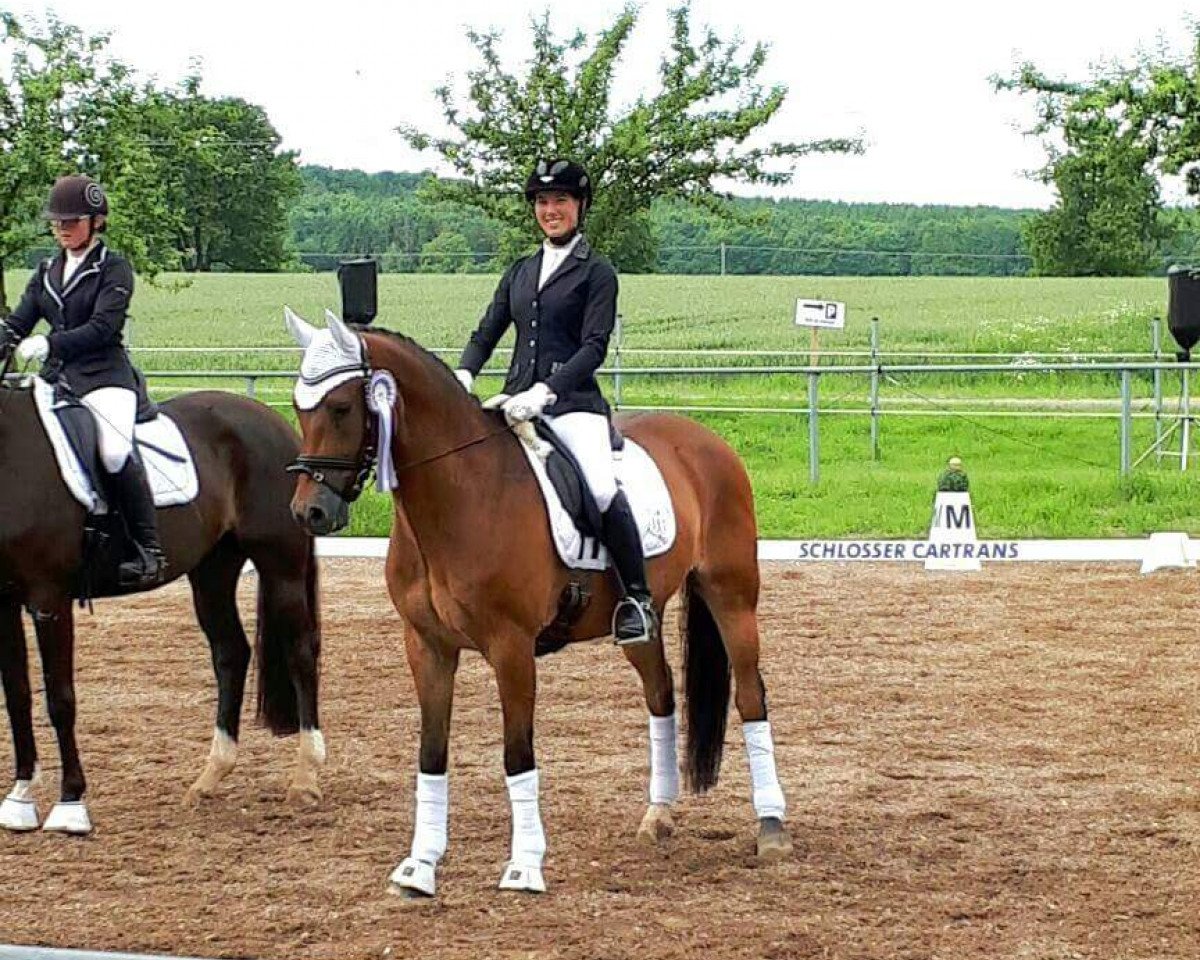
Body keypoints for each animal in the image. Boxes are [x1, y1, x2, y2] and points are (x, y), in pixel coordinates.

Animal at [0, 378, 323, 835]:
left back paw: (306, 780)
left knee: (300, 654)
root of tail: (272, 420)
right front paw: (20, 796)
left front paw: (70, 804)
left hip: (281, 566)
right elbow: (17, 697)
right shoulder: (3, 601)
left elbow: (60, 700)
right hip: (213, 569)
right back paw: (209, 779)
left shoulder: (49, 598)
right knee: (230, 653)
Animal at [285, 307, 791, 897]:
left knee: (752, 697)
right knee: (661, 695)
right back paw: (658, 816)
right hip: (641, 621)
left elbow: (516, 754)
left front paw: (524, 865)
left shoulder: (512, 648)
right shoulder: (427, 646)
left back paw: (772, 829)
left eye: (342, 408)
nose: (310, 513)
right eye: (299, 406)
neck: (461, 494)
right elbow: (431, 753)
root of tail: (705, 439)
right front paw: (419, 866)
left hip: (732, 595)